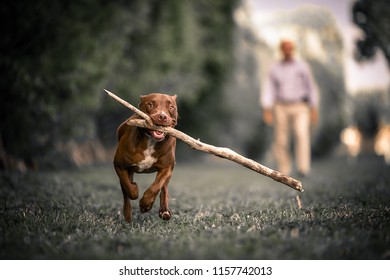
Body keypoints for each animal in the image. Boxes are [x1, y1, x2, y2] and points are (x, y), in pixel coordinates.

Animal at [112, 93, 178, 222]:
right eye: (150, 104)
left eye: (171, 107)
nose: (162, 116)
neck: (151, 141)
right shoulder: (119, 165)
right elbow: (128, 187)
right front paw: (135, 189)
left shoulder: (167, 167)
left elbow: (156, 186)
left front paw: (146, 204)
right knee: (125, 192)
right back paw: (127, 217)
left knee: (164, 188)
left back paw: (164, 211)